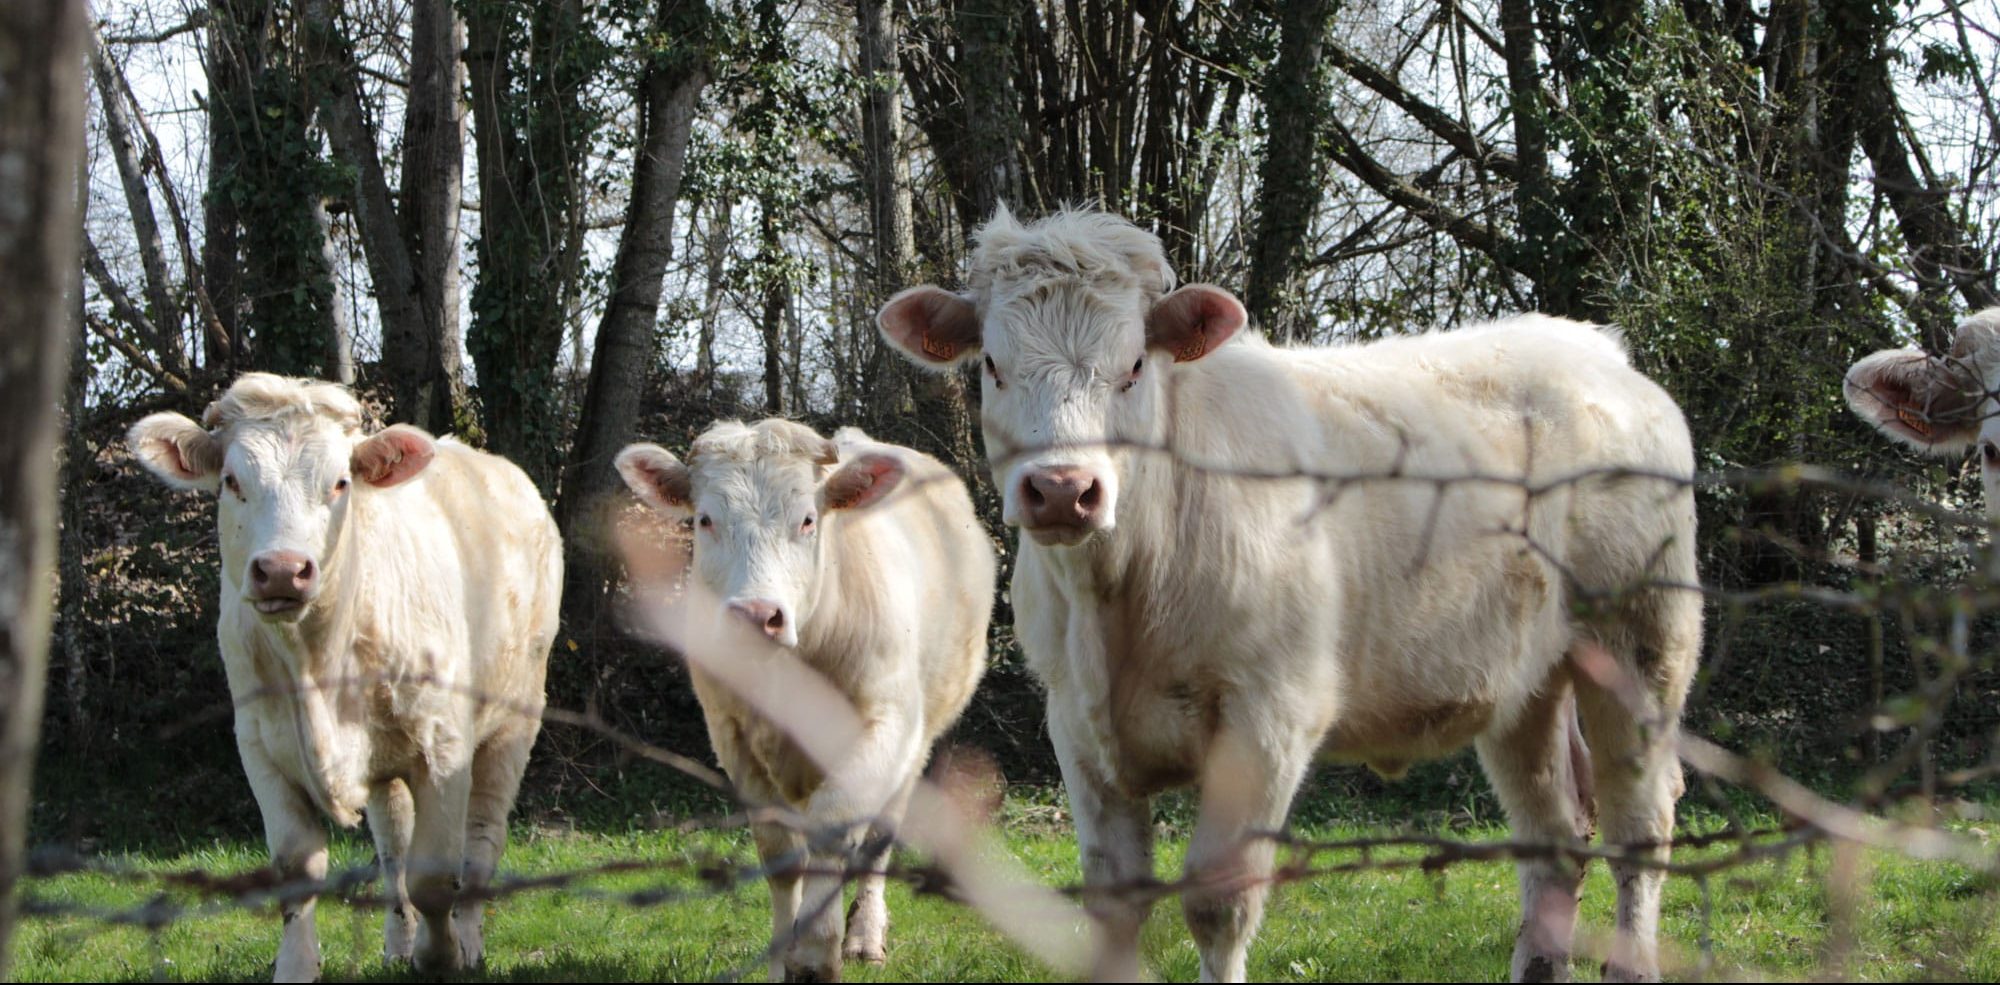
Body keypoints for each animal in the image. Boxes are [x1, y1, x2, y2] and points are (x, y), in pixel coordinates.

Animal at [125, 372, 564, 980]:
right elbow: (298, 872)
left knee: (481, 841)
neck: (316, 663)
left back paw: (470, 942)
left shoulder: (443, 746)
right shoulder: (259, 747)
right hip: (386, 762)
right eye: (232, 482)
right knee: (392, 844)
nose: (281, 569)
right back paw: (397, 944)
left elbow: (436, 877)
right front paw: (296, 967)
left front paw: (441, 957)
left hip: (513, 724)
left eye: (339, 483)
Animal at [612, 418, 996, 980]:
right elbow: (780, 855)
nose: (756, 616)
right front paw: (783, 958)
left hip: (918, 738)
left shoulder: (885, 725)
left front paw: (817, 953)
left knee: (877, 837)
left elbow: (836, 831)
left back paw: (864, 936)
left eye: (808, 520)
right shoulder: (731, 737)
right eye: (705, 519)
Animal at [876, 209, 1704, 985]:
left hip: (1641, 643)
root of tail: (1593, 348)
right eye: (993, 364)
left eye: (1134, 364)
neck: (1117, 599)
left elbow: (1218, 898)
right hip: (1522, 683)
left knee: (1641, 820)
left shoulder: (1269, 713)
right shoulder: (1076, 720)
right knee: (1553, 832)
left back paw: (1632, 961)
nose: (1061, 488)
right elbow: (1114, 901)